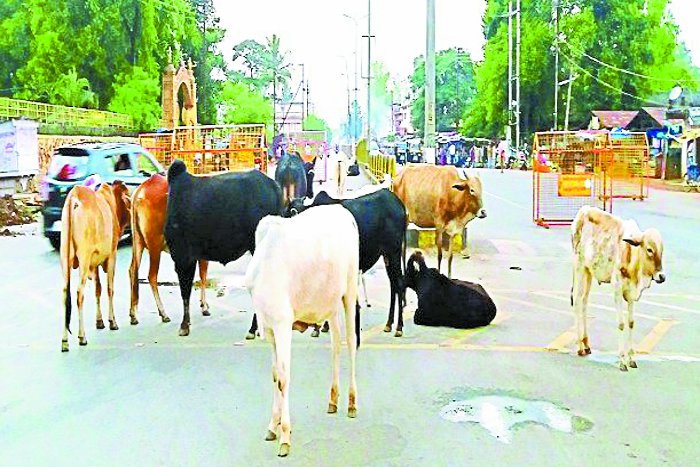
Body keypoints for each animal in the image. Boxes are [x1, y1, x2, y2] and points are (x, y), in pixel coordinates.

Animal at [60, 181, 131, 352]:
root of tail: (74, 196)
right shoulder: (111, 255)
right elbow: (110, 288)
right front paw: (112, 322)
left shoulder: (95, 263)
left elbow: (98, 289)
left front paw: (100, 321)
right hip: (84, 259)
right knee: (79, 293)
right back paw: (82, 337)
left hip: (65, 258)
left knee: (65, 294)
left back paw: (64, 342)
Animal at [128, 174, 209, 326]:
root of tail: (141, 191)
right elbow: (203, 275)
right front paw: (205, 307)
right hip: (154, 246)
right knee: (151, 276)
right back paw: (163, 313)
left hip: (138, 242)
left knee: (132, 271)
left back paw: (133, 315)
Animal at [245, 205, 360, 457]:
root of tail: (341, 209)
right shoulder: (269, 329)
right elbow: (275, 374)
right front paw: (273, 425)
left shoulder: (282, 325)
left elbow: (283, 378)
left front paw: (285, 435)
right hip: (331, 303)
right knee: (336, 343)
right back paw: (333, 399)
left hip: (350, 291)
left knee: (351, 341)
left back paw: (351, 402)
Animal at [284, 188, 408, 336]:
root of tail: (399, 205)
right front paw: (324, 326)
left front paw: (318, 328)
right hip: (387, 256)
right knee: (393, 284)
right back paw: (389, 324)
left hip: (394, 252)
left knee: (399, 283)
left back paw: (399, 327)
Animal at [571, 206, 665, 371]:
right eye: (649, 249)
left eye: (662, 250)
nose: (662, 276)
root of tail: (584, 210)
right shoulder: (617, 289)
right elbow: (621, 324)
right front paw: (622, 360)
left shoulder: (631, 295)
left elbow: (631, 323)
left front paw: (631, 359)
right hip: (580, 267)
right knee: (577, 300)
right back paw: (580, 347)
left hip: (589, 272)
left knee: (584, 302)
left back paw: (586, 344)